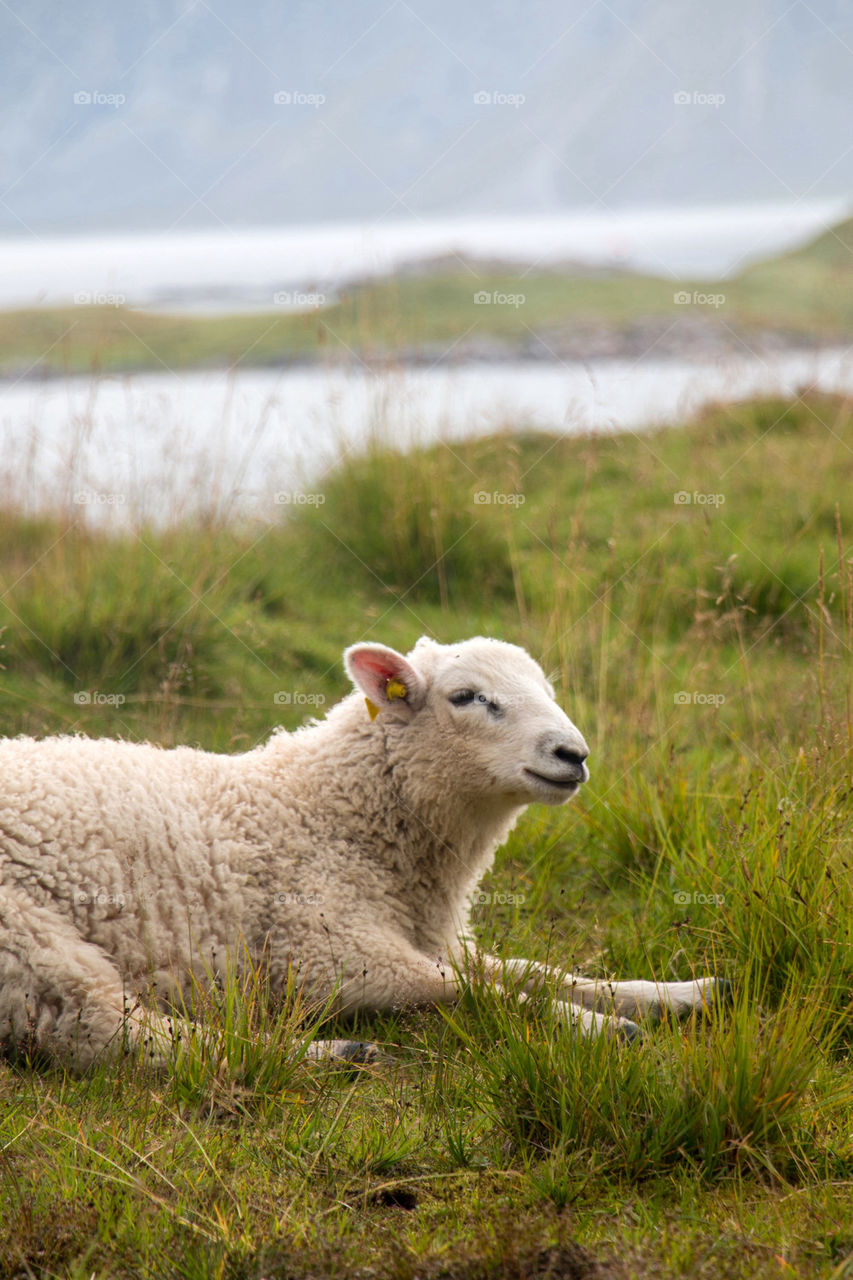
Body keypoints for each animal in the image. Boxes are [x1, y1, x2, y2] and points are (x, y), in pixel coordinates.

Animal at [0, 634, 722, 1064]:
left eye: (548, 690)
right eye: (467, 698)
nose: (573, 755)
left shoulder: (434, 937)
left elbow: (529, 970)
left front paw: (678, 994)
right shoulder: (324, 952)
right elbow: (466, 990)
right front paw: (596, 1027)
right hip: (29, 943)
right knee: (112, 1028)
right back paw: (319, 1054)